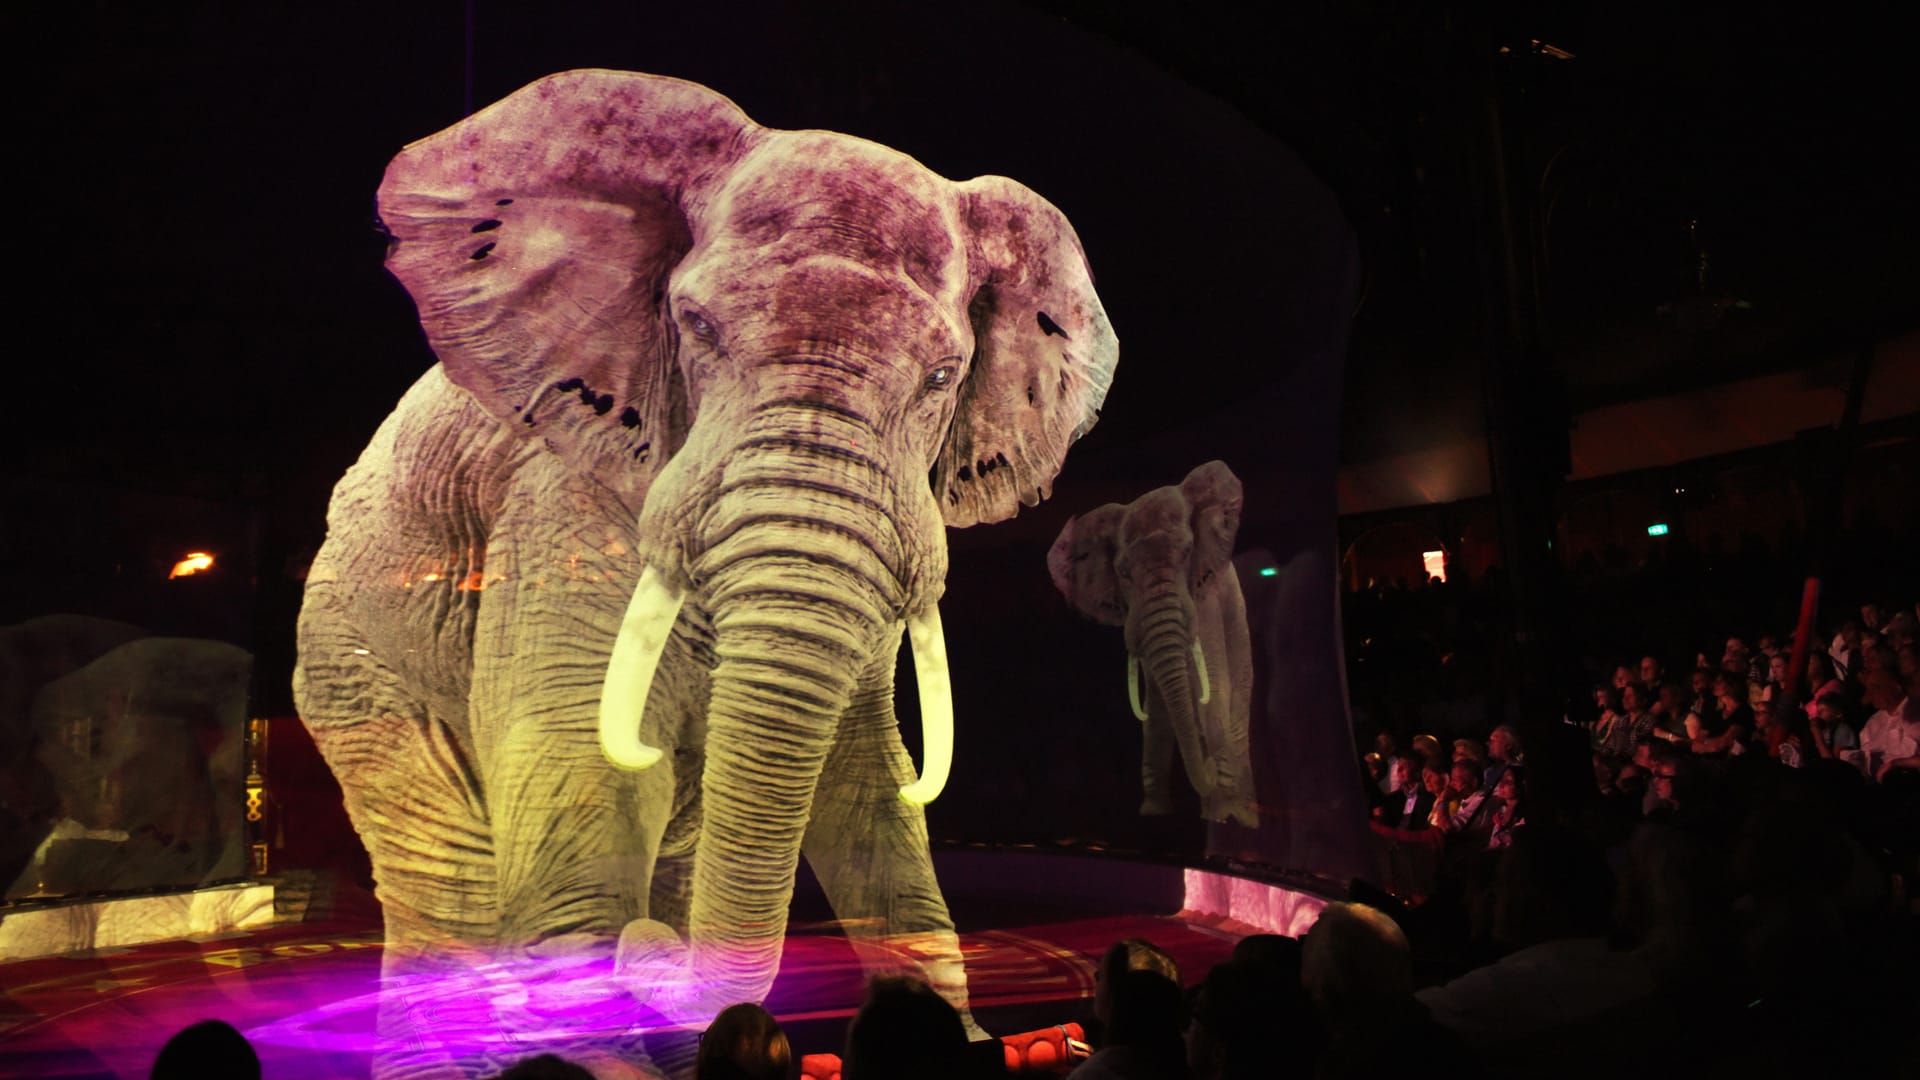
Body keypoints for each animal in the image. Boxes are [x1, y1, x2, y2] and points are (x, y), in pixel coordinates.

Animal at [291, 69, 1121, 1045]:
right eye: (695, 327)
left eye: (943, 377)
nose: (646, 950)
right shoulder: (558, 507)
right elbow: (581, 788)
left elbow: (867, 789)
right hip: (355, 661)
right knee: (451, 885)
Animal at [1052, 461, 1259, 822]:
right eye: (1123, 573)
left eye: (1188, 552)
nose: (1211, 768)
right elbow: (1157, 713)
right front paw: (1154, 814)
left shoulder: (1203, 599)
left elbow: (1215, 688)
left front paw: (1223, 811)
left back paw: (1243, 819)